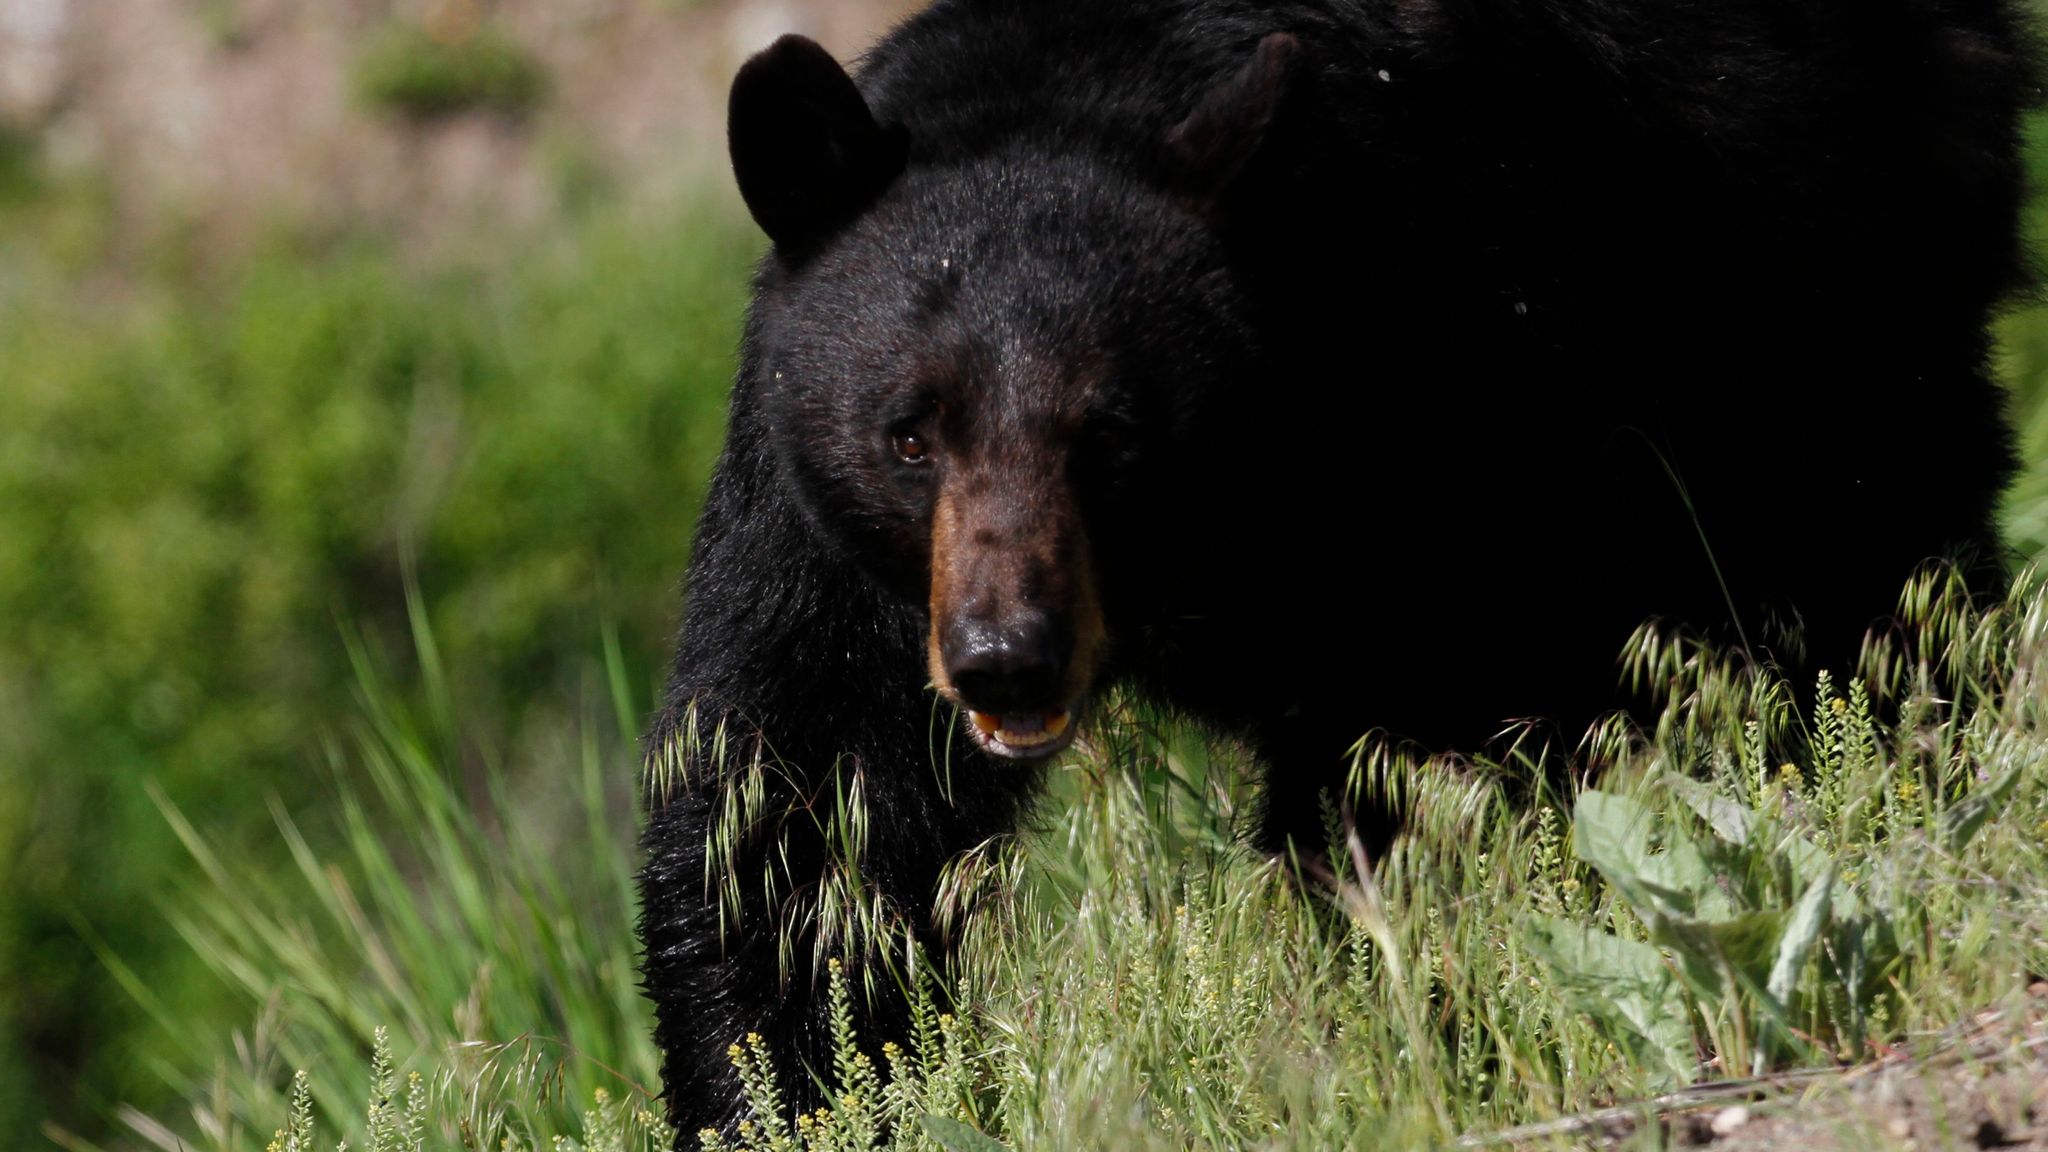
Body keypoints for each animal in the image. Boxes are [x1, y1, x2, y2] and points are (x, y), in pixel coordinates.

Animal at [634, 0, 2031, 1131]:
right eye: (911, 431)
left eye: (1112, 431)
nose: (1004, 656)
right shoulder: (823, 536)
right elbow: (798, 806)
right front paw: (794, 1090)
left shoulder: (1445, 353)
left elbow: (1451, 736)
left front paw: (1420, 1004)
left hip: (1835, 249)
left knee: (1869, 550)